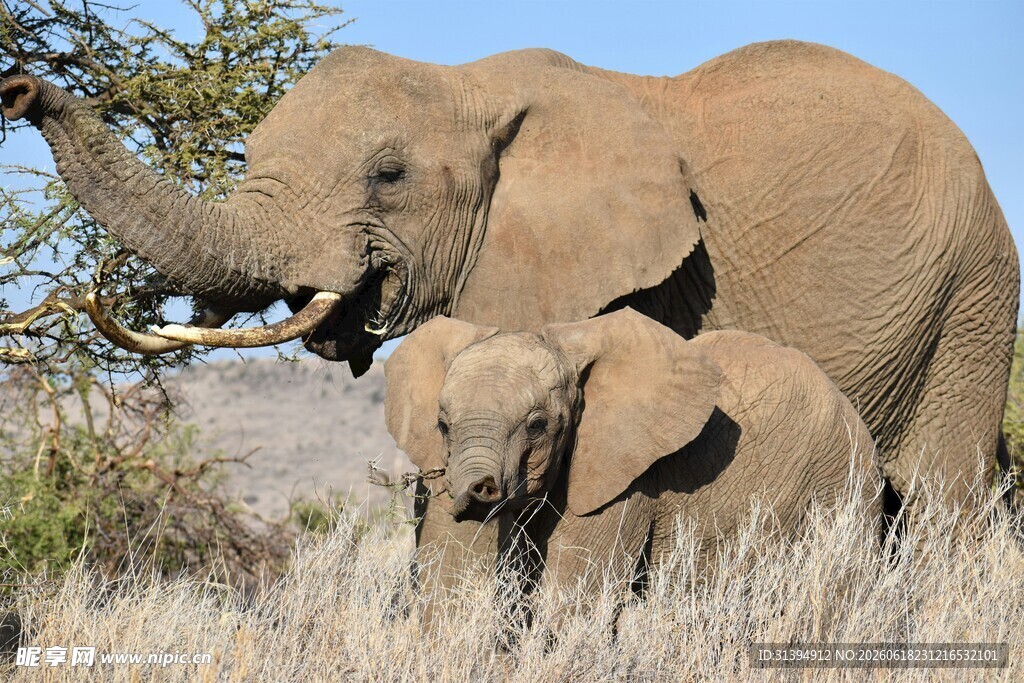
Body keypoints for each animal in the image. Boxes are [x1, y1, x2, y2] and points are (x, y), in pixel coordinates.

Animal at [0, 40, 1015, 544]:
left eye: (388, 177)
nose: (17, 88)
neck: (467, 88)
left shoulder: (642, 283)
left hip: (969, 300)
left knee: (942, 497)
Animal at [383, 309, 881, 614]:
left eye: (537, 425)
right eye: (442, 426)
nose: (478, 489)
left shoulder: (629, 477)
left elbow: (575, 595)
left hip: (843, 477)